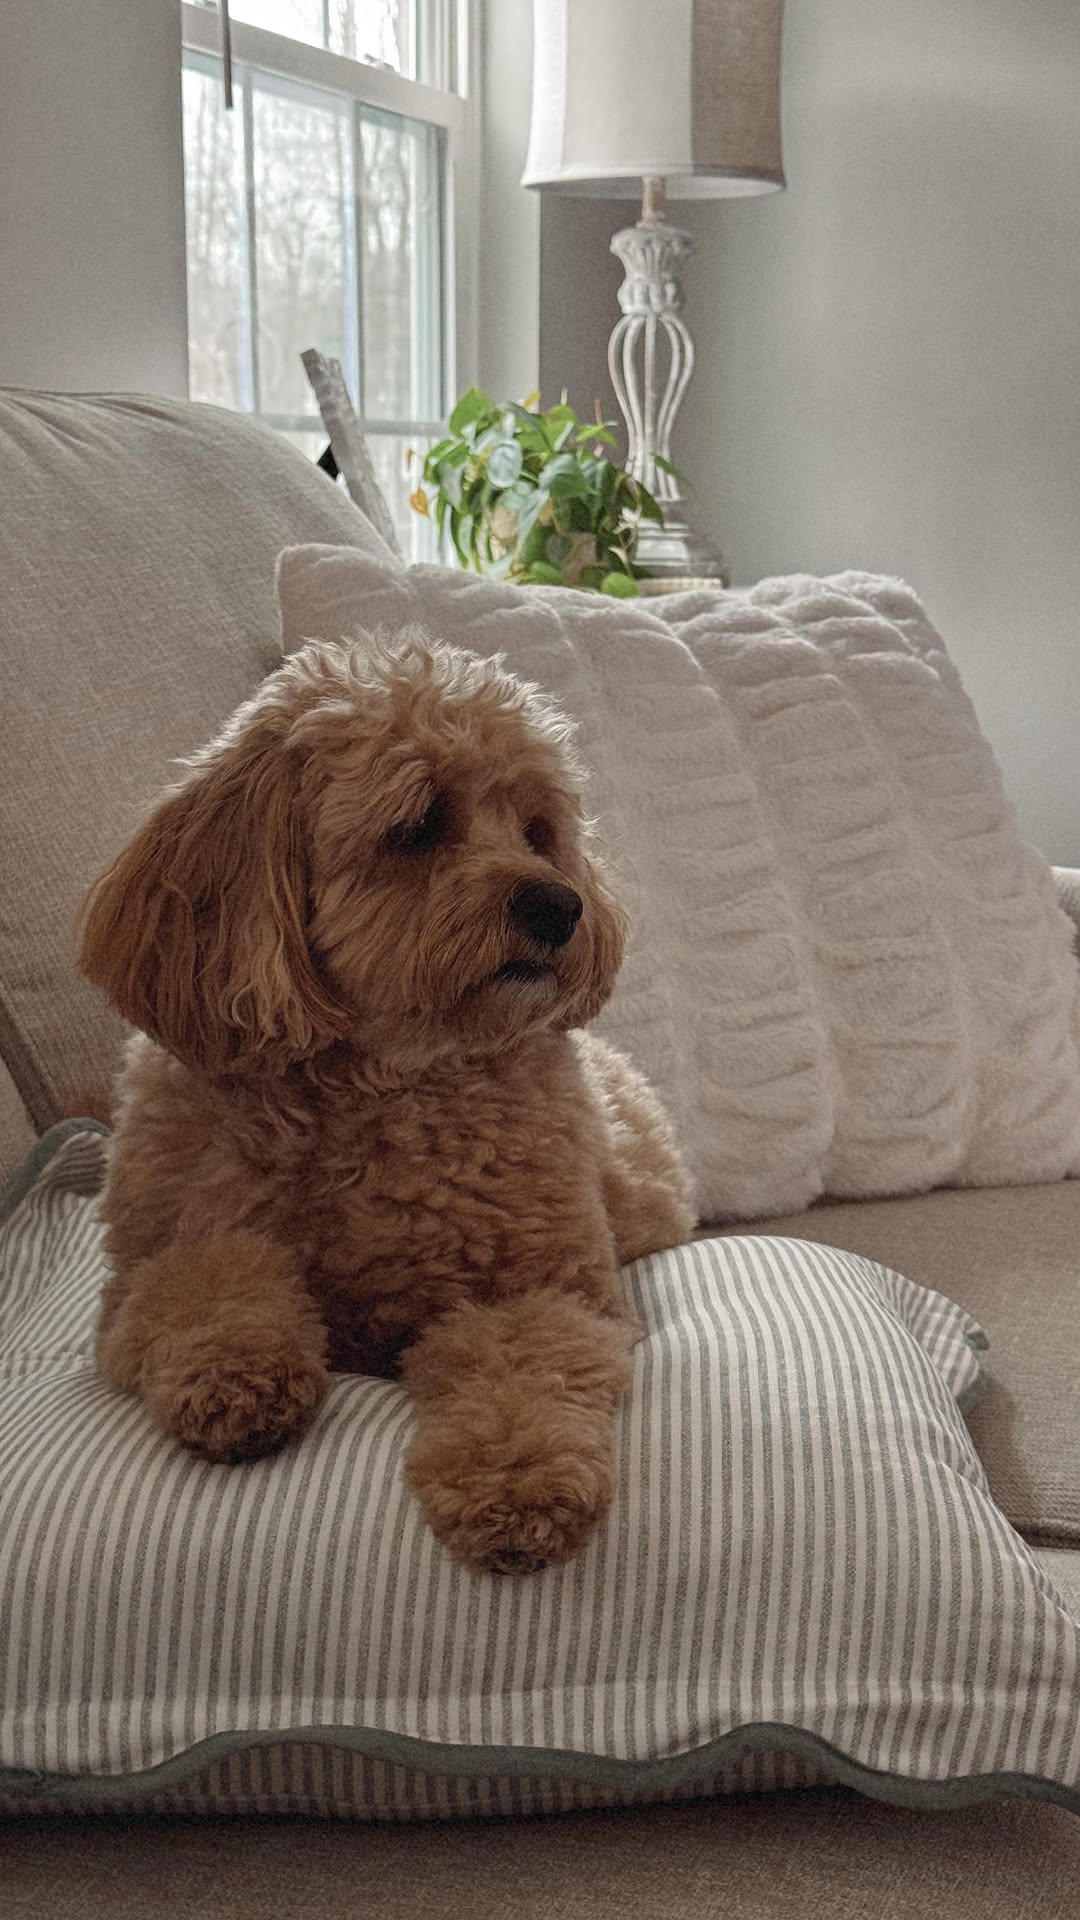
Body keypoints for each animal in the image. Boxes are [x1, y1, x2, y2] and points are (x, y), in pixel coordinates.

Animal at [79, 632, 693, 1573]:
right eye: (419, 825)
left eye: (538, 831)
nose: (561, 904)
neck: (374, 1087)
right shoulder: (134, 1284)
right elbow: (204, 1277)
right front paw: (235, 1371)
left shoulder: (551, 1290)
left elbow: (521, 1361)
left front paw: (516, 1480)